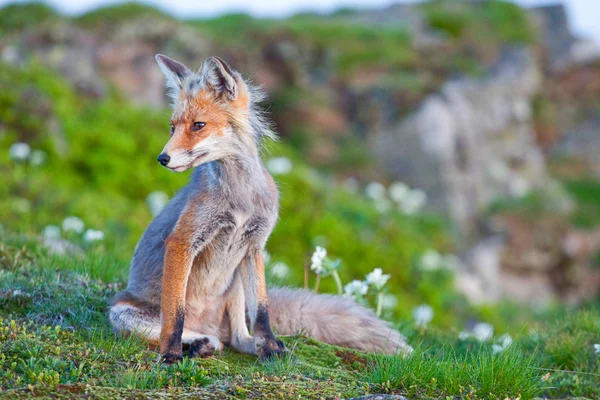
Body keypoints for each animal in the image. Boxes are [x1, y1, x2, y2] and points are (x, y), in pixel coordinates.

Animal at [108, 54, 410, 362]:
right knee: (198, 335)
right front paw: (170, 354)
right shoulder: (183, 239)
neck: (240, 200)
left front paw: (271, 347)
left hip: (236, 287)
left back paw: (246, 345)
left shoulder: (254, 244)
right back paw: (197, 343)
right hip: (120, 313)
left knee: (238, 339)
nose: (162, 158)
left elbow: (262, 312)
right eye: (172, 127)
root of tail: (212, 327)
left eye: (198, 125)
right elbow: (174, 314)